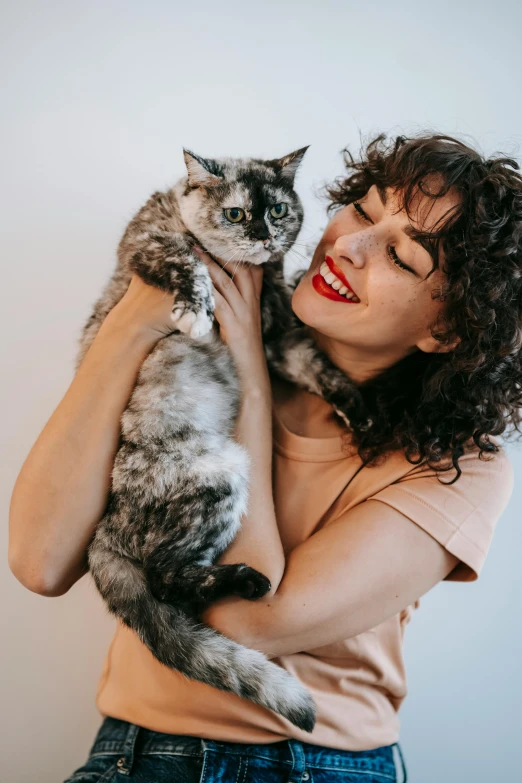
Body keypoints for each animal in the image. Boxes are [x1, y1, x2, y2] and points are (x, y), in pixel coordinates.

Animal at [79, 147, 360, 736]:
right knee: (165, 580)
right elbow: (186, 261)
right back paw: (248, 582)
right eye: (235, 213)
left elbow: (321, 368)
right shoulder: (147, 243)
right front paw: (196, 310)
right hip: (220, 473)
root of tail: (103, 533)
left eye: (277, 210)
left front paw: (364, 411)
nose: (262, 235)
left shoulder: (277, 333)